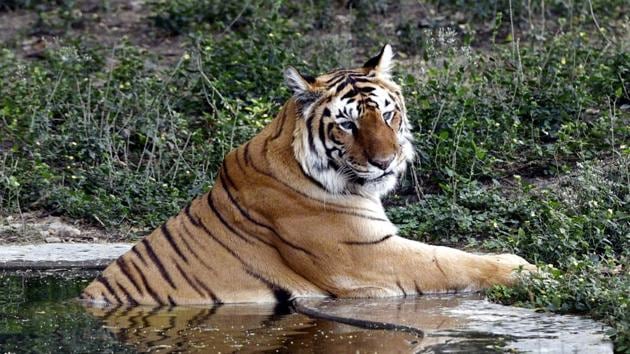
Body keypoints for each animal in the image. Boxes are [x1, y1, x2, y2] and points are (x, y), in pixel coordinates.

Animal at [81, 45, 536, 306]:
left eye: (388, 114)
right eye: (348, 124)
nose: (386, 161)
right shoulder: (366, 254)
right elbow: (451, 260)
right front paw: (526, 269)